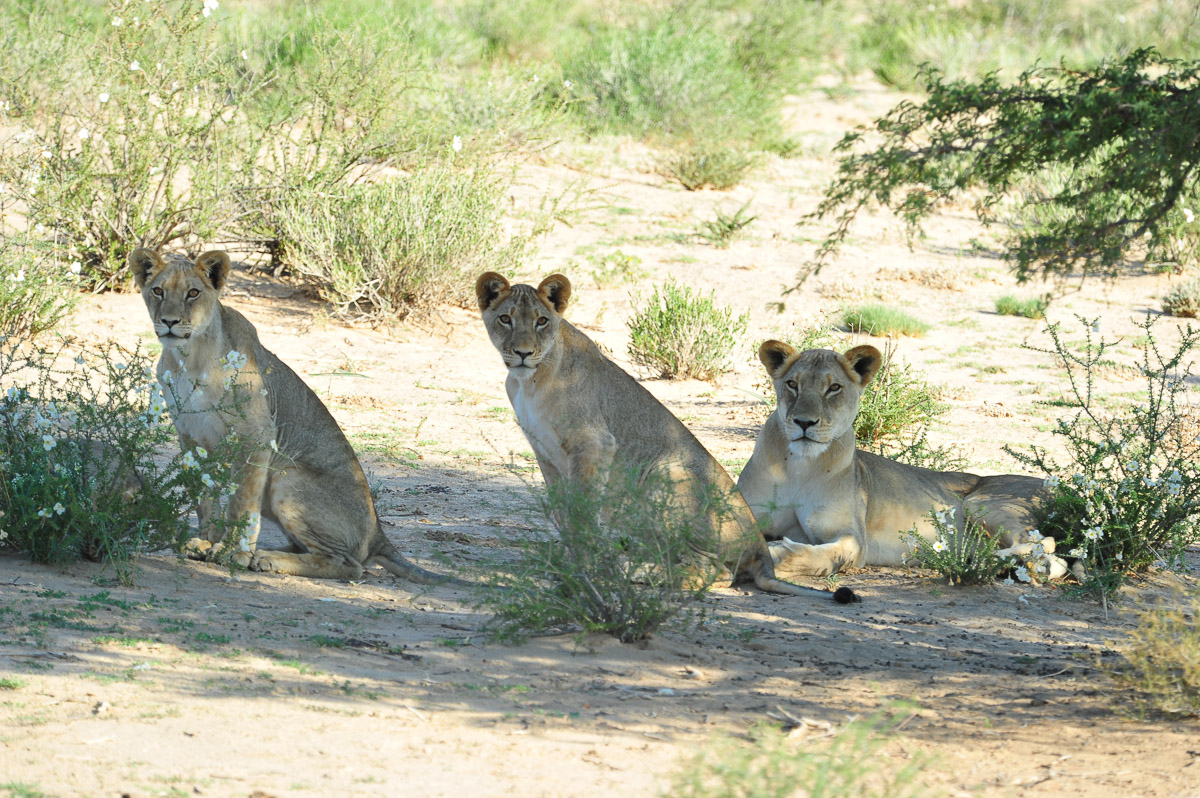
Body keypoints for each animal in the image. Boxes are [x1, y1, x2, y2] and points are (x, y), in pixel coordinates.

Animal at [130, 247, 462, 586]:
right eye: (158, 291)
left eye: (193, 293)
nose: (169, 322)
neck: (190, 356)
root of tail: (378, 536)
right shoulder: (190, 434)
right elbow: (203, 496)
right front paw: (206, 542)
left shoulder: (256, 436)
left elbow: (241, 501)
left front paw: (231, 552)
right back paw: (268, 553)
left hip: (288, 477)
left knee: (350, 565)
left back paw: (266, 559)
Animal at [475, 271, 856, 602]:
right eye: (506, 319)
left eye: (541, 321)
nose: (523, 353)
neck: (528, 380)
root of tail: (761, 551)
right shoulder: (547, 454)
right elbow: (563, 513)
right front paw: (566, 564)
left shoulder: (593, 444)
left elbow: (581, 514)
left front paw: (582, 568)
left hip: (664, 472)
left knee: (717, 572)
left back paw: (633, 571)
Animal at [738, 341, 1068, 579]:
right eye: (792, 384)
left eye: (834, 388)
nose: (804, 422)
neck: (799, 467)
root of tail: (1059, 487)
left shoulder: (854, 540)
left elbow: (819, 555)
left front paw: (777, 552)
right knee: (1055, 561)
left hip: (984, 503)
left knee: (1045, 543)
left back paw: (981, 559)